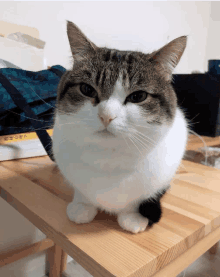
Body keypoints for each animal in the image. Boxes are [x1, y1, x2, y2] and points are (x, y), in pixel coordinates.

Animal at [52, 21, 189, 233]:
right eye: (86, 89)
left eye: (138, 96)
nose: (106, 116)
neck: (108, 157)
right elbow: (82, 192)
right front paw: (82, 206)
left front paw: (133, 217)